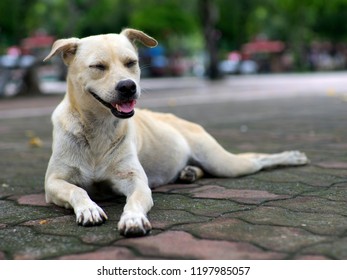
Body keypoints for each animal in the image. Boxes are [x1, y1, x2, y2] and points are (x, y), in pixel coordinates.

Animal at [44, 28, 310, 236]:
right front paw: (88, 207)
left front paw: (132, 218)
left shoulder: (136, 181)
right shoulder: (53, 182)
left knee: (257, 159)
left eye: (131, 63)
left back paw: (291, 156)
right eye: (98, 66)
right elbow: (76, 189)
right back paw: (190, 172)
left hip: (224, 163)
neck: (98, 128)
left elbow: (135, 200)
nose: (128, 87)